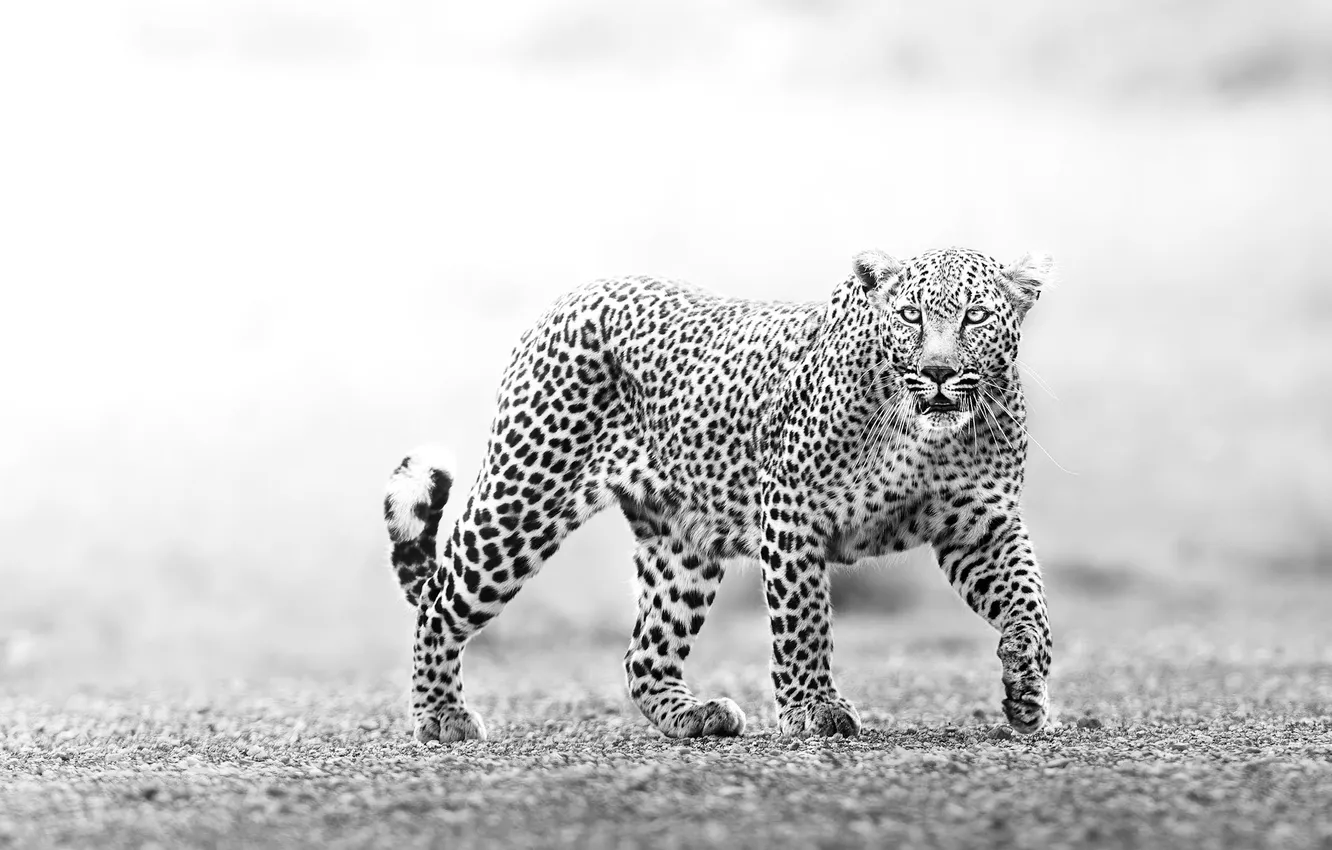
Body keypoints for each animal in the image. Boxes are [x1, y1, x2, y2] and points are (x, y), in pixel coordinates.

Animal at [384, 246, 1056, 742]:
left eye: (975, 316)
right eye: (911, 315)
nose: (940, 372)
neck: (925, 437)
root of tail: (571, 298)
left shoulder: (982, 526)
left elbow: (1030, 603)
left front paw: (1026, 685)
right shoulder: (793, 511)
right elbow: (805, 620)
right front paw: (814, 710)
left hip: (680, 543)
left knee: (645, 653)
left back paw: (693, 716)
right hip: (523, 499)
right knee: (439, 603)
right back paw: (441, 717)